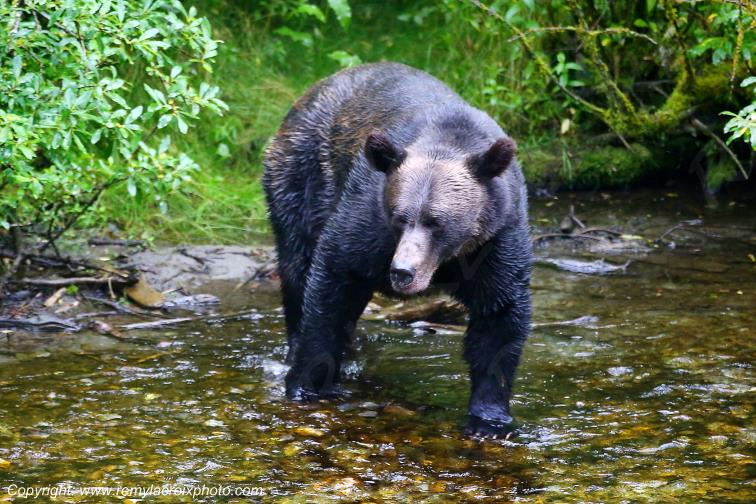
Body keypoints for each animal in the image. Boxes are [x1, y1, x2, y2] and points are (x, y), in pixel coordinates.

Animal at [263, 62, 532, 438]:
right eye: (400, 217)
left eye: (437, 221)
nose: (402, 272)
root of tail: (313, 89)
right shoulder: (366, 220)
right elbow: (331, 283)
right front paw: (308, 384)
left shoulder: (494, 240)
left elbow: (499, 318)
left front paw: (489, 418)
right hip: (301, 176)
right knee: (297, 267)